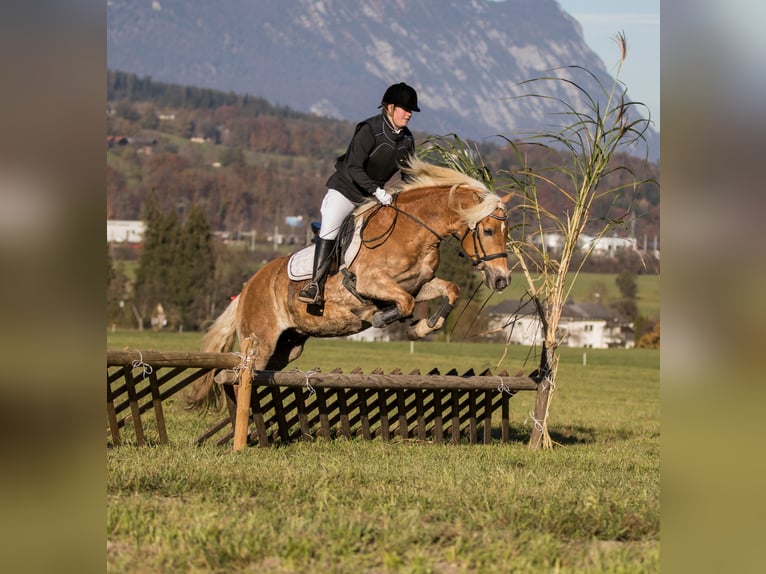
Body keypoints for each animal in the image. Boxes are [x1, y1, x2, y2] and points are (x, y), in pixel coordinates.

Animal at [186, 155, 510, 412]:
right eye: (489, 230)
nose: (502, 279)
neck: (412, 231)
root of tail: (247, 287)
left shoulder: (419, 285)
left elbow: (449, 290)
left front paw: (422, 327)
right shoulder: (371, 283)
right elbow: (403, 304)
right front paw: (381, 317)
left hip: (287, 347)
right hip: (261, 341)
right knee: (238, 375)